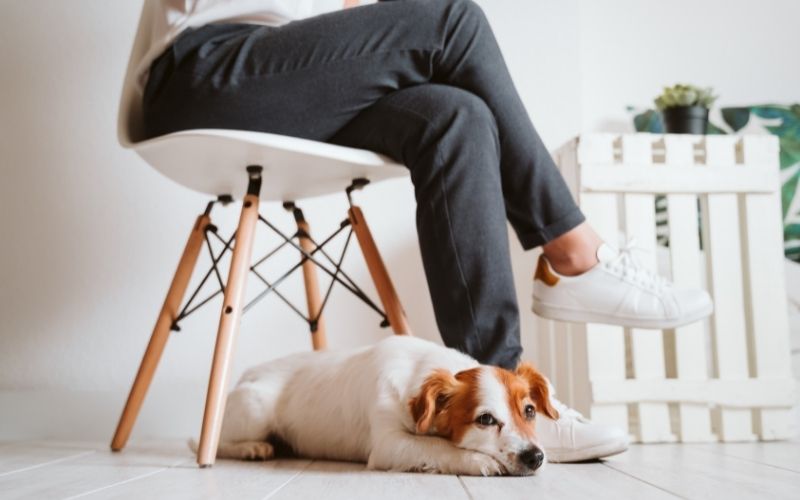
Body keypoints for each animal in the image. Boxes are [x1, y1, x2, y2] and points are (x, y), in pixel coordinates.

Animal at [212, 334, 564, 474]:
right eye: (486, 420)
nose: (535, 457)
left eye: (530, 411)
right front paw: (478, 461)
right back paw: (252, 448)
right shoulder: (387, 445)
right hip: (255, 407)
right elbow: (437, 447)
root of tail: (247, 373)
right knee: (217, 444)